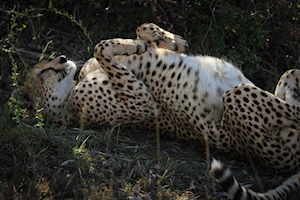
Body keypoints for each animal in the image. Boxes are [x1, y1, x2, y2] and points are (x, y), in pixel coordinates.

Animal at [19, 23, 300, 198]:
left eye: (49, 60)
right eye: (44, 71)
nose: (64, 58)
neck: (72, 89)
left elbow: (139, 31)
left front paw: (170, 41)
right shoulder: (143, 102)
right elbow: (100, 47)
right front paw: (134, 45)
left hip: (286, 76)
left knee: (291, 74)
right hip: (237, 95)